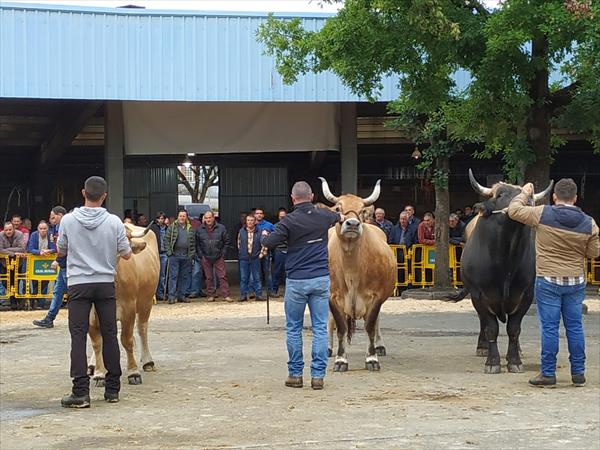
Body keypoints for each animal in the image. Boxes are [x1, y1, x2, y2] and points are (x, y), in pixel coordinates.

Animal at [88, 223, 159, 384]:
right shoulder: (90, 314)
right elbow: (97, 343)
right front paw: (100, 373)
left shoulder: (129, 308)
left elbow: (126, 340)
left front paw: (133, 372)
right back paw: (92, 365)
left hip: (146, 302)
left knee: (142, 328)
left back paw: (147, 361)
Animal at [318, 178, 398, 370]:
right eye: (338, 209)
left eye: (362, 210)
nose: (353, 224)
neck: (352, 270)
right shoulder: (332, 296)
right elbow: (340, 327)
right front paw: (341, 359)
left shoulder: (377, 296)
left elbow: (370, 325)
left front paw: (372, 358)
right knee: (330, 321)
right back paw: (328, 348)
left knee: (377, 323)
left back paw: (380, 345)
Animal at [450, 169, 552, 372]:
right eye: (500, 195)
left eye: (528, 195)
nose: (527, 200)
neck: (506, 262)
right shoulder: (479, 295)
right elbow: (491, 328)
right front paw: (492, 362)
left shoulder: (526, 294)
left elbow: (514, 329)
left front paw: (514, 360)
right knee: (482, 322)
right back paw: (482, 347)